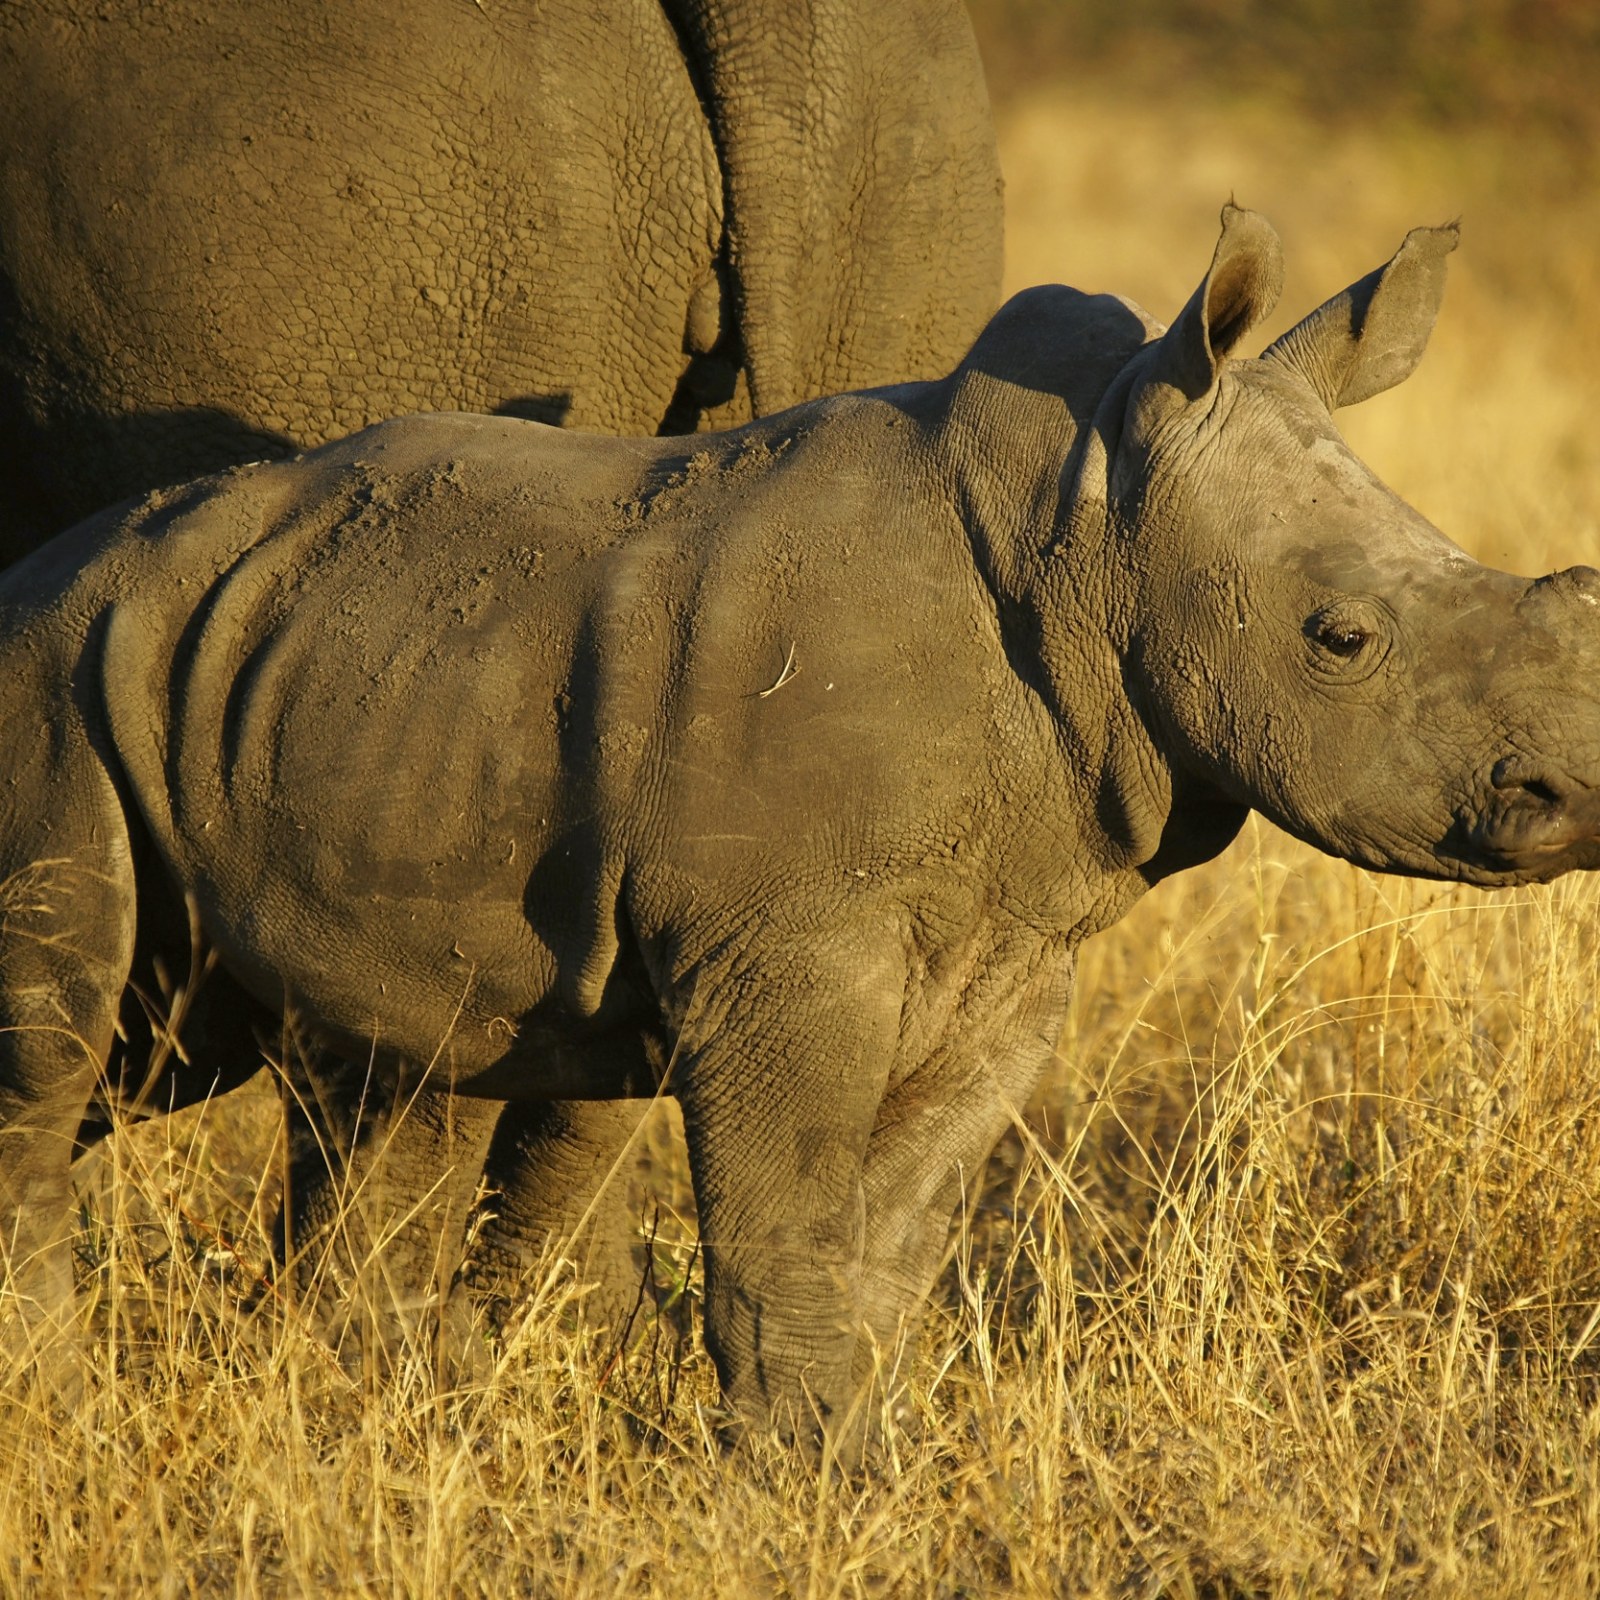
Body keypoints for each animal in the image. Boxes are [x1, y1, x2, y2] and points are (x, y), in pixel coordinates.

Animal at [3, 206, 1599, 1447]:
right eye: (1341, 639)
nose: (1568, 800)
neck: (1086, 533)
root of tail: (42, 575)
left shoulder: (1016, 940)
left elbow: (894, 1228)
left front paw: (867, 1463)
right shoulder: (790, 943)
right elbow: (785, 1212)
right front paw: (801, 1478)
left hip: (301, 677)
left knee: (335, 1068)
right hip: (50, 673)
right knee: (63, 1030)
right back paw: (65, 1419)